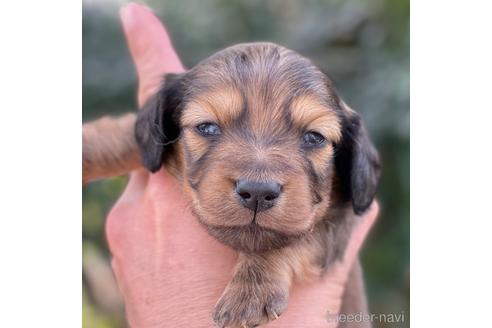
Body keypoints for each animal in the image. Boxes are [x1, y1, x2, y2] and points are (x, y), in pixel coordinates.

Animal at [83, 42, 380, 326]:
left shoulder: (342, 223)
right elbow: (123, 135)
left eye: (314, 137)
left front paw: (250, 290)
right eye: (207, 127)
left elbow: (295, 239)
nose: (258, 193)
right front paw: (88, 147)